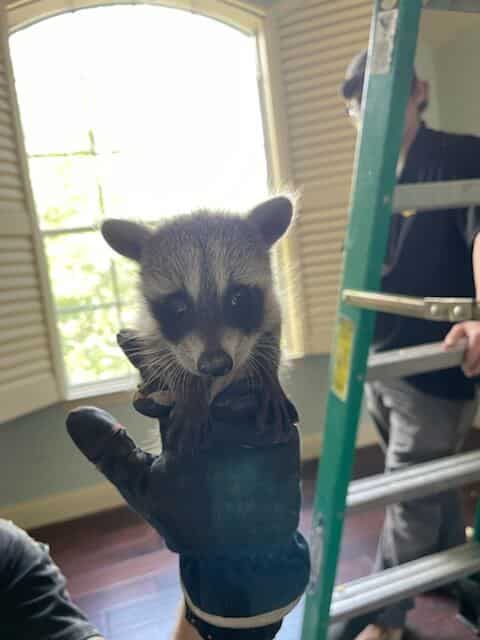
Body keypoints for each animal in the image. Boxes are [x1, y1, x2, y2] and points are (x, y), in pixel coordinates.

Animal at [102, 195, 292, 450]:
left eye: (237, 298)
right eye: (178, 306)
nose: (216, 365)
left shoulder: (269, 305)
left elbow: (271, 331)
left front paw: (267, 374)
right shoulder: (151, 328)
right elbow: (162, 354)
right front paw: (188, 388)